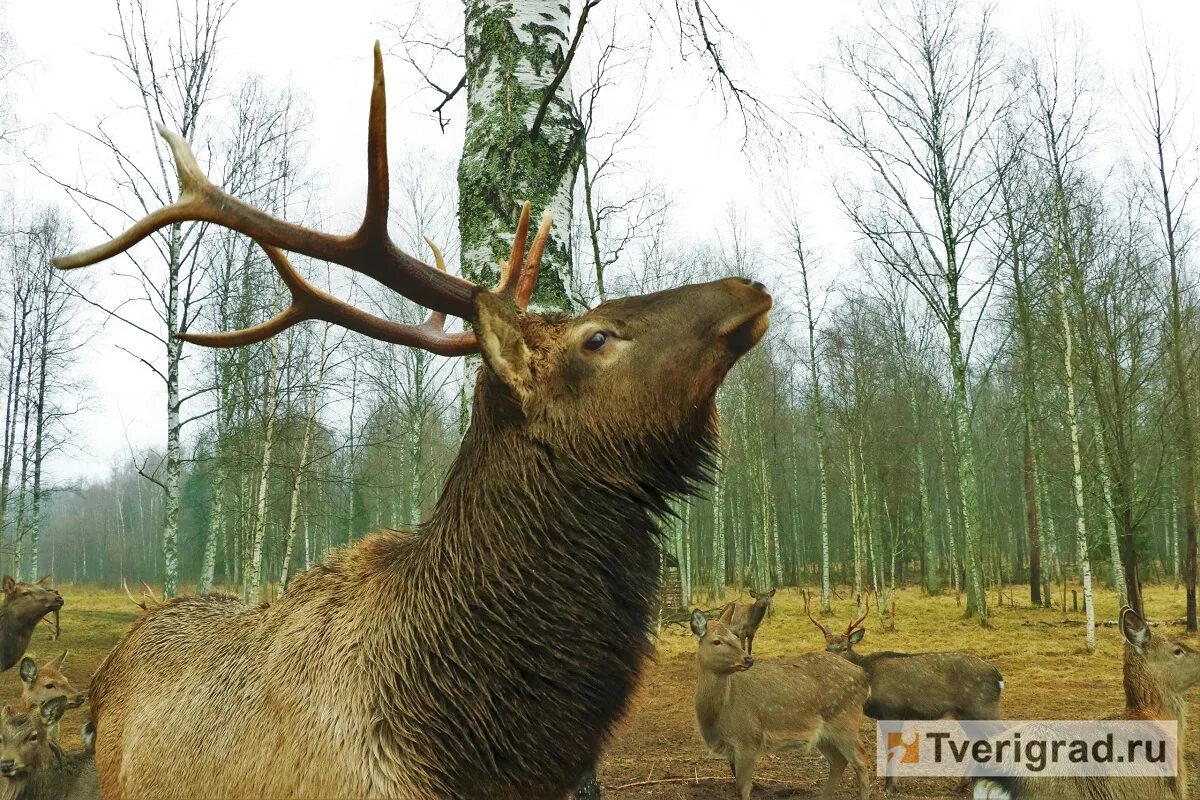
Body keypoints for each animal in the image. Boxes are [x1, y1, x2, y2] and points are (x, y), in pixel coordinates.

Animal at [686, 609, 873, 796]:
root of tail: (863, 675)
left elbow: (743, 788)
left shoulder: (749, 739)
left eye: (735, 637)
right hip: (824, 734)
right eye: (716, 641)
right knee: (838, 760)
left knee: (861, 758)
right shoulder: (731, 750)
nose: (748, 659)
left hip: (845, 721)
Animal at [806, 592, 1003, 791]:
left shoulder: (892, 710)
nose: (831, 666)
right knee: (979, 740)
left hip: (982, 707)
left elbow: (891, 748)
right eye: (827, 648)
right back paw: (962, 784)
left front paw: (889, 786)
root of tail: (999, 677)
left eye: (845, 647)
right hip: (965, 713)